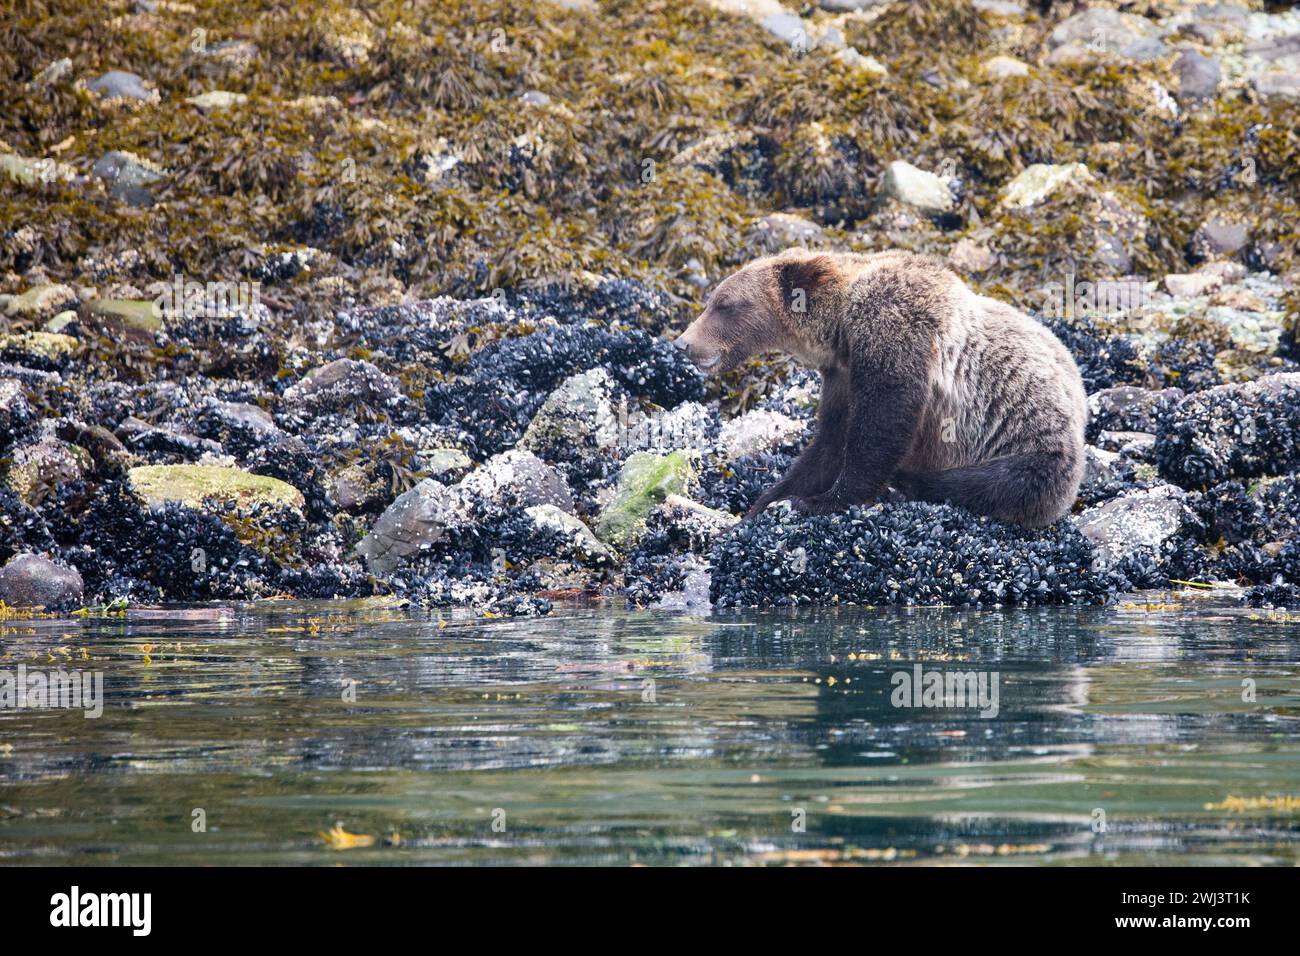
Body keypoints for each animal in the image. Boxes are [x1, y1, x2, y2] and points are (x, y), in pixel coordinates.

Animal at [673, 248, 1087, 527]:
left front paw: (821, 501)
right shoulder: (841, 375)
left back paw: (911, 483)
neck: (839, 329)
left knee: (992, 483)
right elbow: (829, 442)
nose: (683, 343)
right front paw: (768, 501)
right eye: (712, 300)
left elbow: (883, 421)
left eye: (725, 304)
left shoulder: (891, 327)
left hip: (1034, 447)